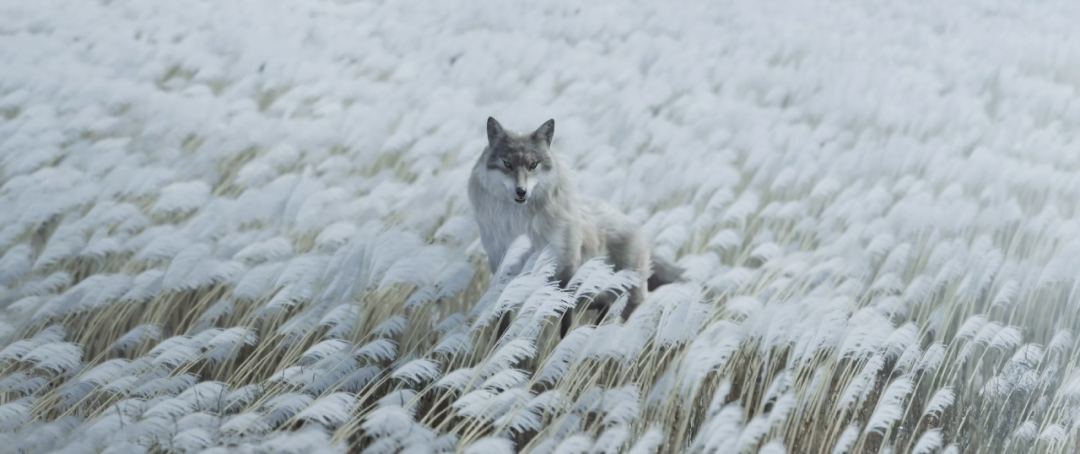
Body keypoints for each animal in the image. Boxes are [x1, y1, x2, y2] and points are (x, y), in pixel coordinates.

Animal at [466, 117, 682, 337]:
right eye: (507, 164)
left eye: (533, 165)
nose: (521, 192)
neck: (521, 230)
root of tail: (638, 229)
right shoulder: (504, 277)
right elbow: (502, 322)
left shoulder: (566, 276)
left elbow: (565, 325)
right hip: (595, 299)